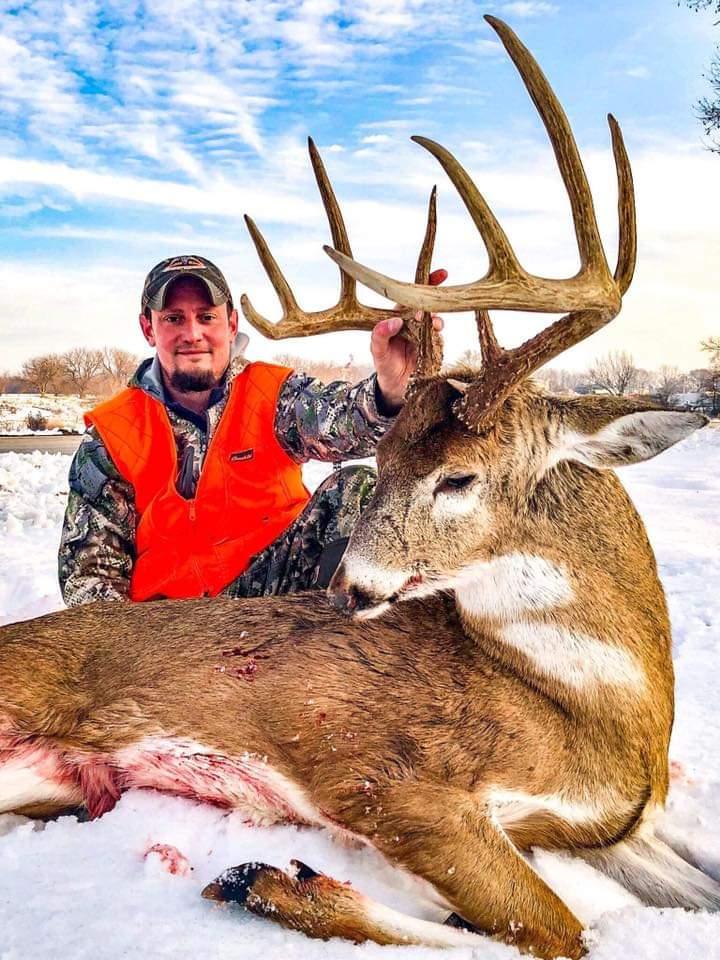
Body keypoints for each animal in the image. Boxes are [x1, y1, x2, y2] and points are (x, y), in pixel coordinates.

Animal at [1, 15, 718, 959]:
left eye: (457, 475)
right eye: (388, 460)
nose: (348, 588)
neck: (602, 717)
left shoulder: (614, 829)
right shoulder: (386, 775)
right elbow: (556, 932)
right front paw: (269, 880)